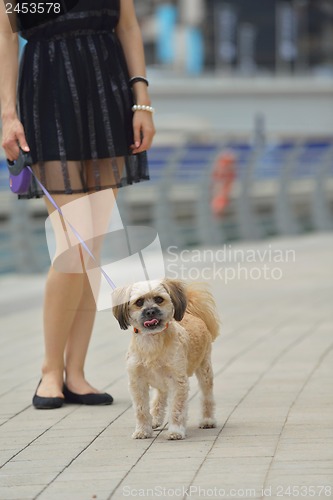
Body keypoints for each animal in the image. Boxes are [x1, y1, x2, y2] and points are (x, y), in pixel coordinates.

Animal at [113, 280, 219, 440]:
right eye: (139, 302)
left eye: (159, 299)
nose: (150, 311)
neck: (152, 342)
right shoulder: (137, 381)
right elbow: (141, 409)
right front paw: (143, 430)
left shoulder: (177, 380)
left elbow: (177, 408)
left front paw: (176, 431)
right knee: (160, 396)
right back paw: (155, 419)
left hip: (204, 369)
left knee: (207, 397)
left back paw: (208, 420)